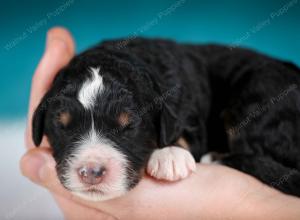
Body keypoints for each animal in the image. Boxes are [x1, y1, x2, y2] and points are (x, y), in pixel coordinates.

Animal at [32, 37, 300, 201]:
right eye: (63, 127)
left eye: (129, 126)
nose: (92, 172)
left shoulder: (188, 114)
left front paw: (169, 156)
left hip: (258, 98)